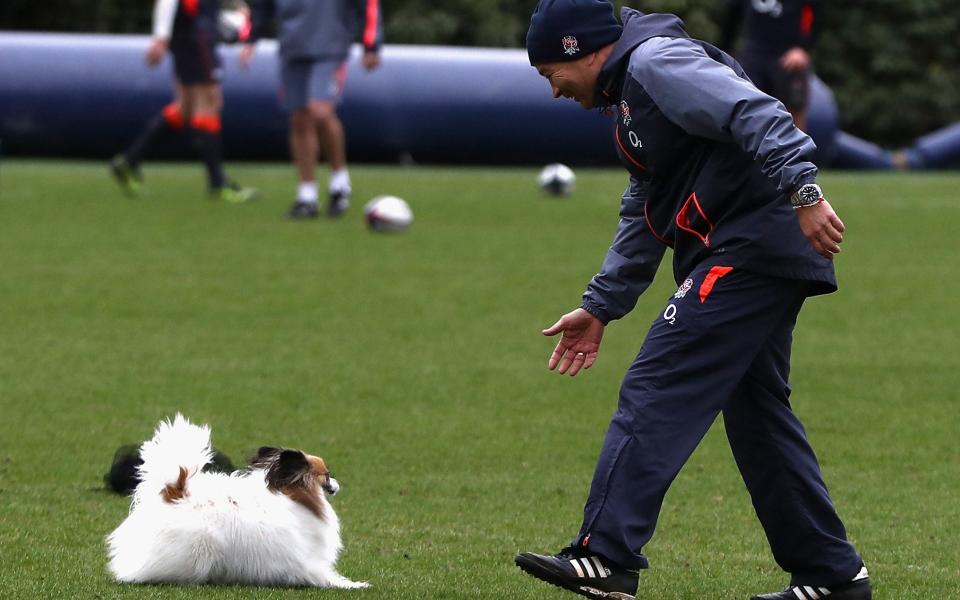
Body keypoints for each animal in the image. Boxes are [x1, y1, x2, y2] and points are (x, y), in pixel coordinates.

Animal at [106, 414, 368, 588]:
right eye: (327, 474)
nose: (337, 484)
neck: (297, 500)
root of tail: (173, 492)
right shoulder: (306, 562)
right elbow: (327, 577)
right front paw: (355, 585)